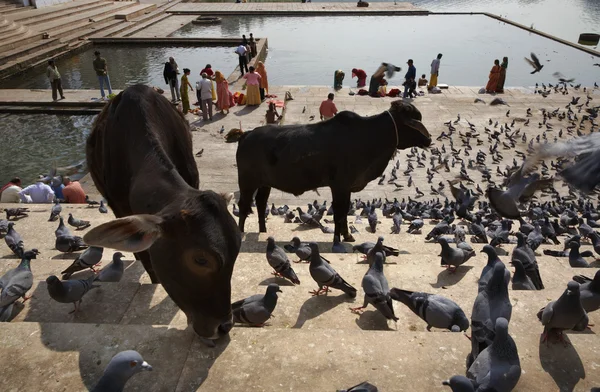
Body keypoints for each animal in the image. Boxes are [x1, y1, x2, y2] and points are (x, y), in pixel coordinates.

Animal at [234, 99, 432, 240]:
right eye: (415, 119)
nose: (429, 139)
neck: (369, 137)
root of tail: (247, 134)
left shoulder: (347, 187)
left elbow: (344, 212)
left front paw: (347, 236)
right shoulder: (339, 186)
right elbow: (339, 212)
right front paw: (339, 238)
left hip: (264, 183)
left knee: (260, 203)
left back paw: (263, 230)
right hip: (247, 182)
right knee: (244, 205)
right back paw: (240, 232)